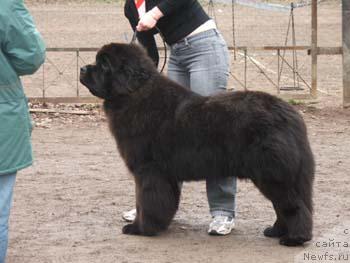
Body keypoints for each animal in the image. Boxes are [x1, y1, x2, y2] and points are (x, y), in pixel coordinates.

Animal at [79, 43, 314, 248]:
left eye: (104, 65)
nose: (82, 68)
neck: (134, 94)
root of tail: (290, 114)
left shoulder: (147, 171)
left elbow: (144, 201)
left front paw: (140, 229)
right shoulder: (164, 175)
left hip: (272, 175)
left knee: (293, 206)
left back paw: (294, 238)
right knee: (284, 206)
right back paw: (276, 231)